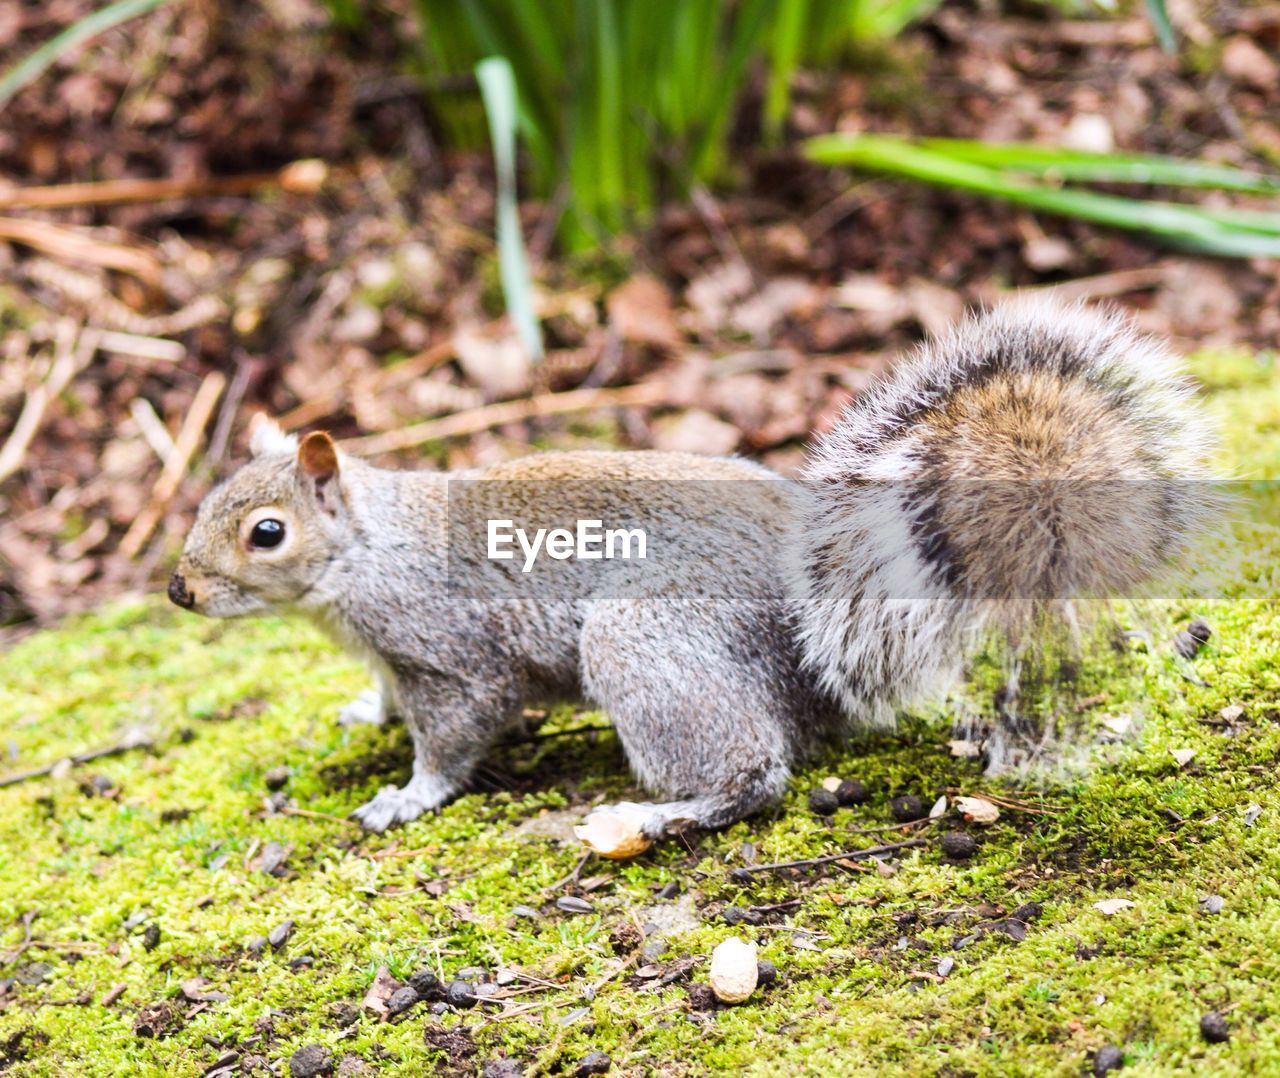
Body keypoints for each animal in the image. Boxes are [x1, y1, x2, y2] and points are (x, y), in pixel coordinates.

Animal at [170, 298, 1208, 834]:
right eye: (209, 497)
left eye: (266, 532)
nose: (180, 589)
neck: (367, 552)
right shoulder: (394, 656)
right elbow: (386, 699)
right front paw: (362, 714)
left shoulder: (450, 651)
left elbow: (457, 734)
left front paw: (405, 797)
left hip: (646, 643)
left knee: (756, 775)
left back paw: (660, 816)